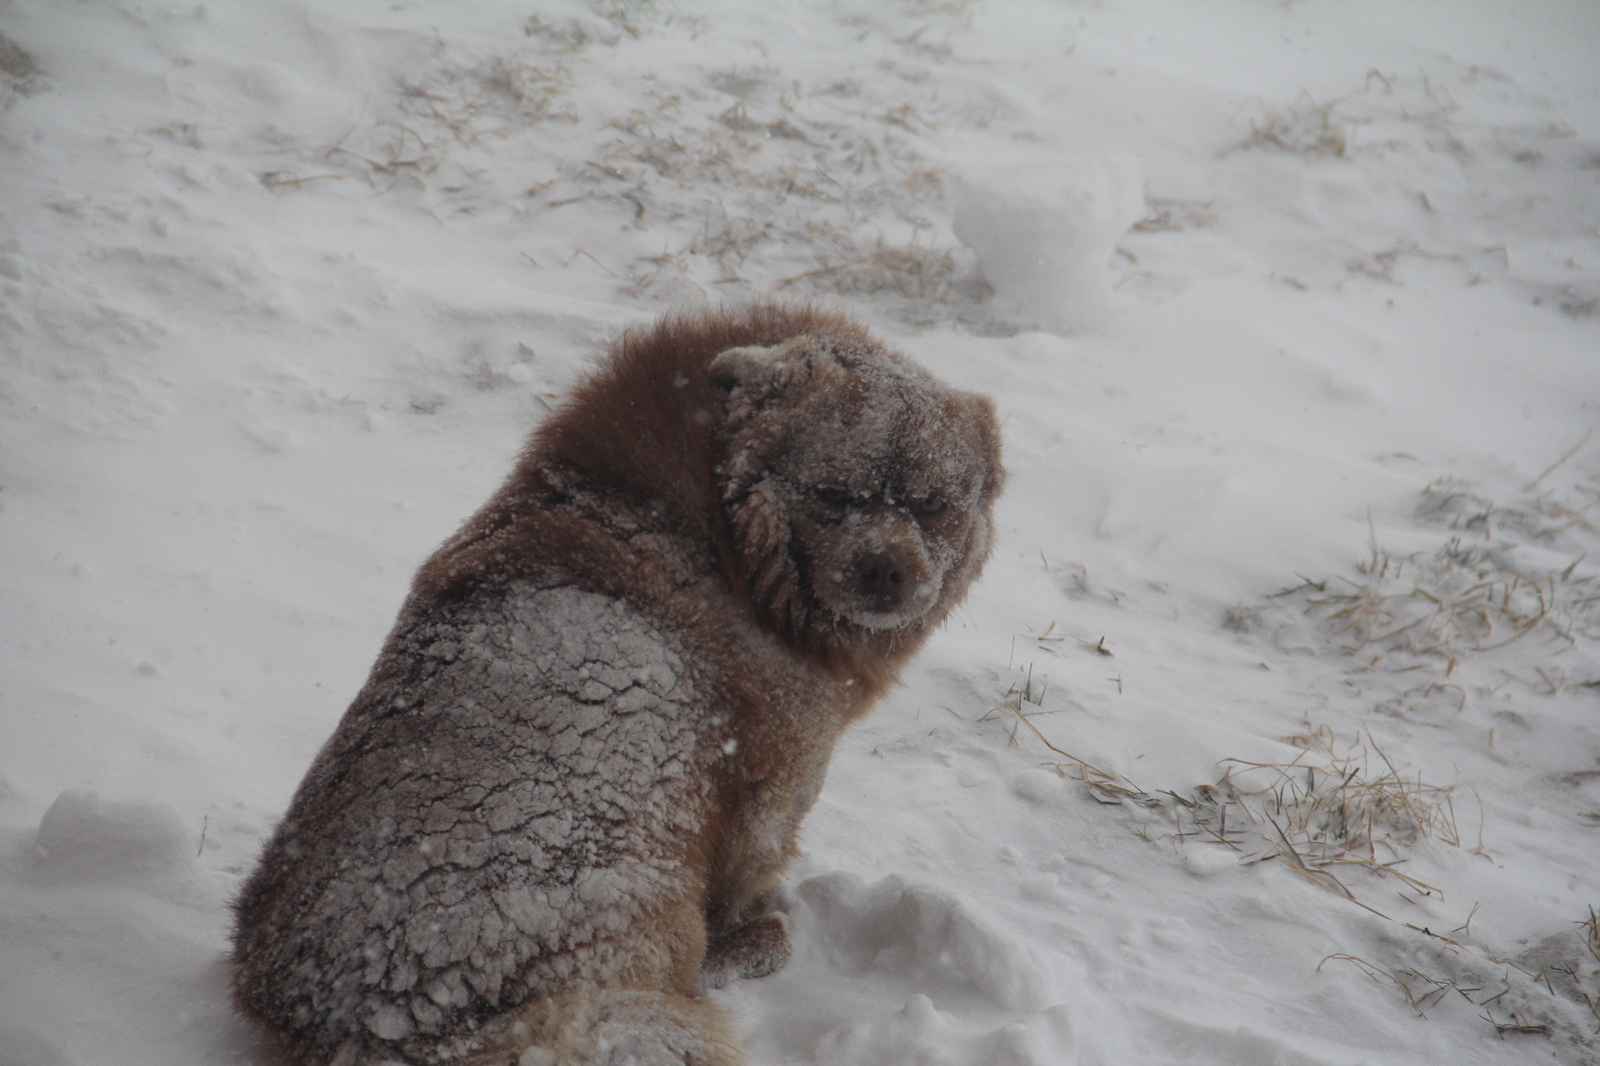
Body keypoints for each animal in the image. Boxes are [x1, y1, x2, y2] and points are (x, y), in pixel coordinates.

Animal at [228, 302, 998, 1056]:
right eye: (833, 493)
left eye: (934, 505)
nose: (887, 569)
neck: (723, 529)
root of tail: (362, 1025)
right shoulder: (780, 775)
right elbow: (749, 865)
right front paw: (752, 926)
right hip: (625, 944)